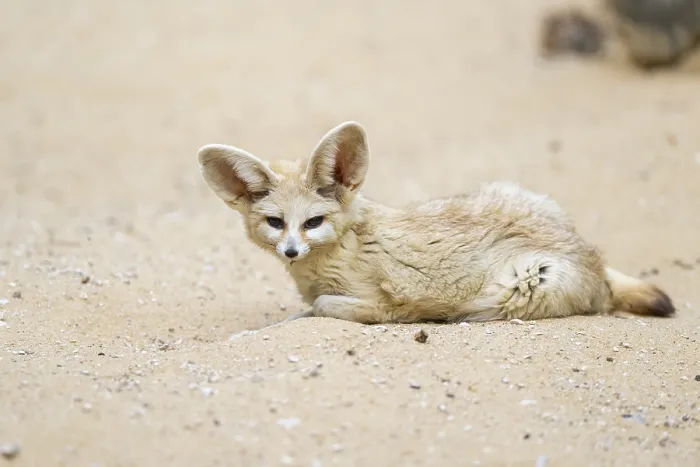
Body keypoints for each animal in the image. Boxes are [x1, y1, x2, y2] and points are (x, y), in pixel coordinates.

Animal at [197, 121, 675, 324]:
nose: (292, 251)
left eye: (313, 222)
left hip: (515, 287)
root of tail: (590, 254)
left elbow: (321, 306)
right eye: (275, 222)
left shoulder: (381, 304)